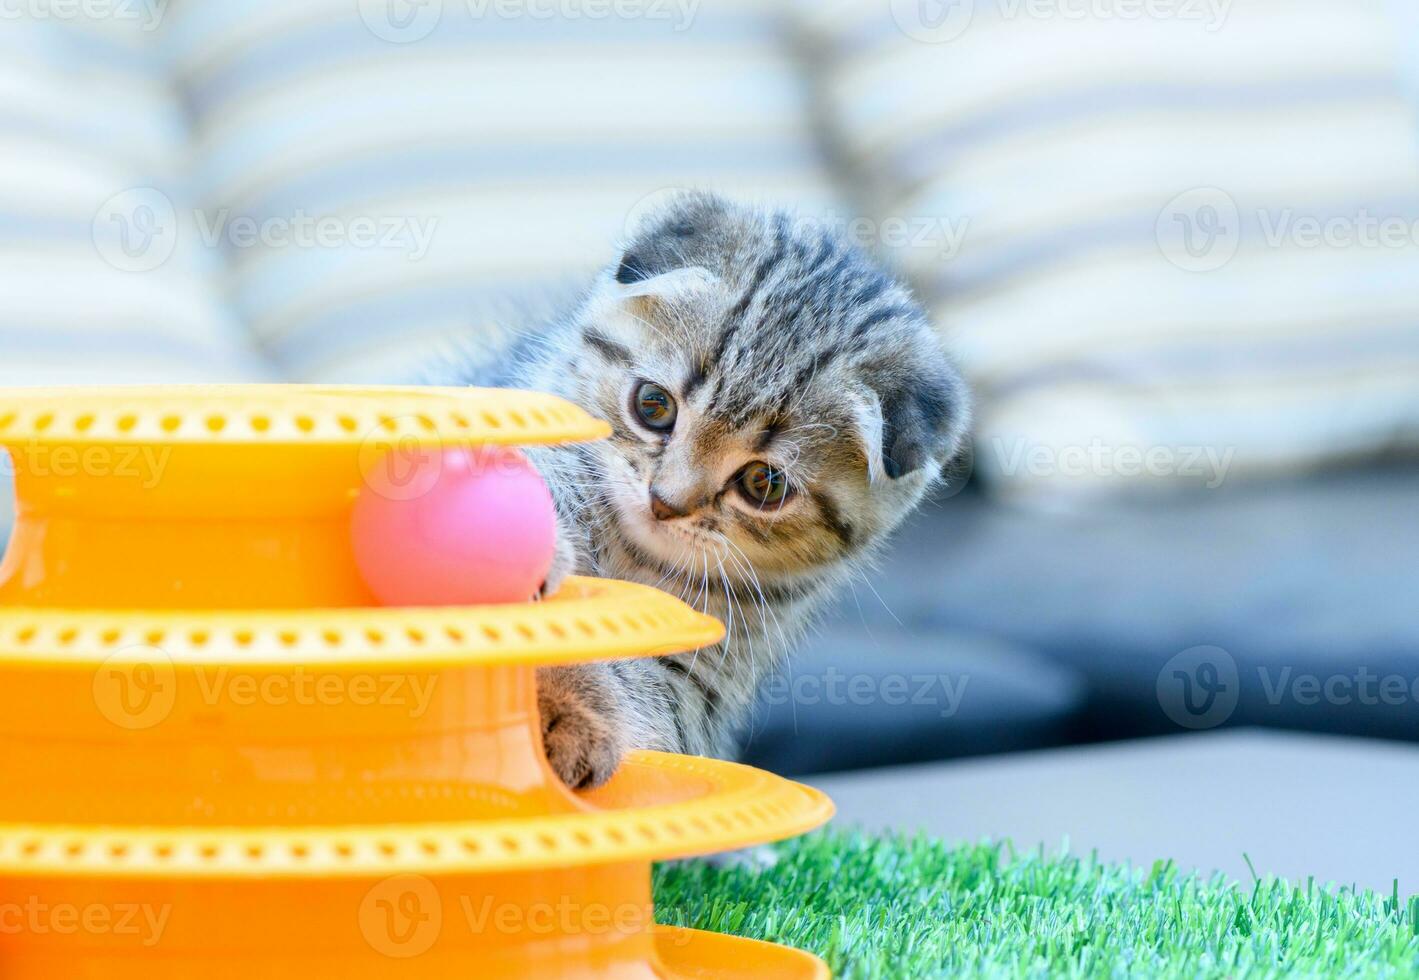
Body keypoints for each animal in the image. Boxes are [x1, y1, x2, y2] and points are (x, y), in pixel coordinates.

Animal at [448, 191, 970, 788]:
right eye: (653, 405)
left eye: (763, 484)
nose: (664, 502)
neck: (631, 555)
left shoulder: (697, 688)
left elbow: (632, 671)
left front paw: (572, 711)